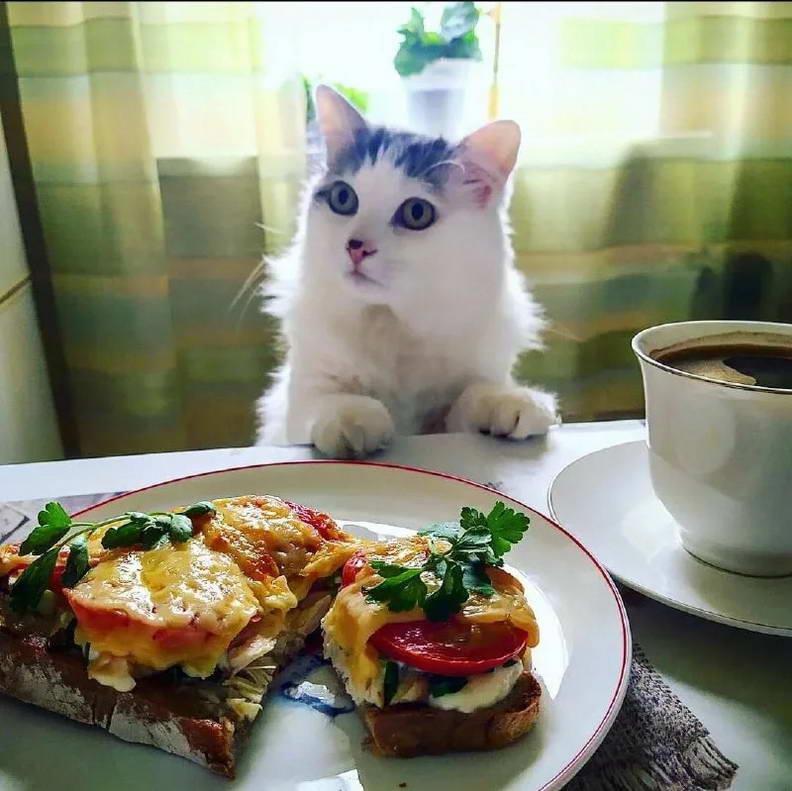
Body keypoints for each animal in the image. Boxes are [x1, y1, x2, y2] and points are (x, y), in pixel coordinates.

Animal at [257, 85, 557, 458]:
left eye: (416, 213)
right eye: (343, 198)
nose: (356, 246)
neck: (393, 323)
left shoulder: (464, 390)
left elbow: (472, 394)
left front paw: (509, 400)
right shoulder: (300, 396)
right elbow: (327, 401)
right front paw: (353, 417)